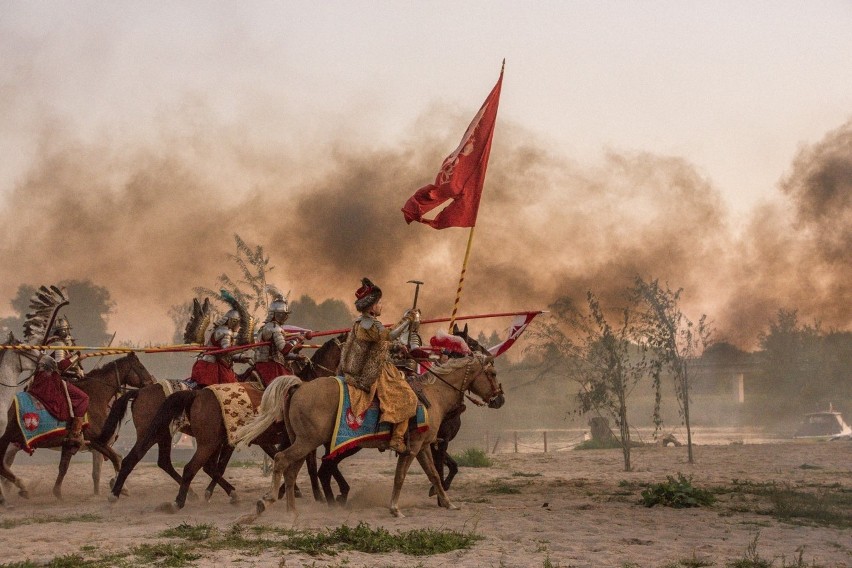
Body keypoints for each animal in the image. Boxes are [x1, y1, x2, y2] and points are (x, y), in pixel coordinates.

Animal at [0, 352, 155, 504]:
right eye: (140, 367)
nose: (152, 382)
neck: (95, 396)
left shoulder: (70, 444)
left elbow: (63, 468)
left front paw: (57, 492)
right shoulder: (96, 442)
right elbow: (115, 459)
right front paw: (119, 489)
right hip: (7, 442)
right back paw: (18, 488)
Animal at [106, 336, 342, 504]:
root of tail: (140, 392)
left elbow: (219, 466)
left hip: (163, 434)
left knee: (161, 461)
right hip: (155, 433)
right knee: (136, 458)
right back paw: (118, 493)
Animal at [236, 352, 502, 520]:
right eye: (493, 373)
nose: (499, 399)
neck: (432, 395)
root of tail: (299, 386)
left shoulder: (424, 446)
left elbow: (434, 475)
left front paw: (448, 503)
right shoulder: (414, 447)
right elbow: (400, 477)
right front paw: (395, 508)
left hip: (303, 442)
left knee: (292, 472)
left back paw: (292, 511)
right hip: (306, 442)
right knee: (282, 461)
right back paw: (266, 502)